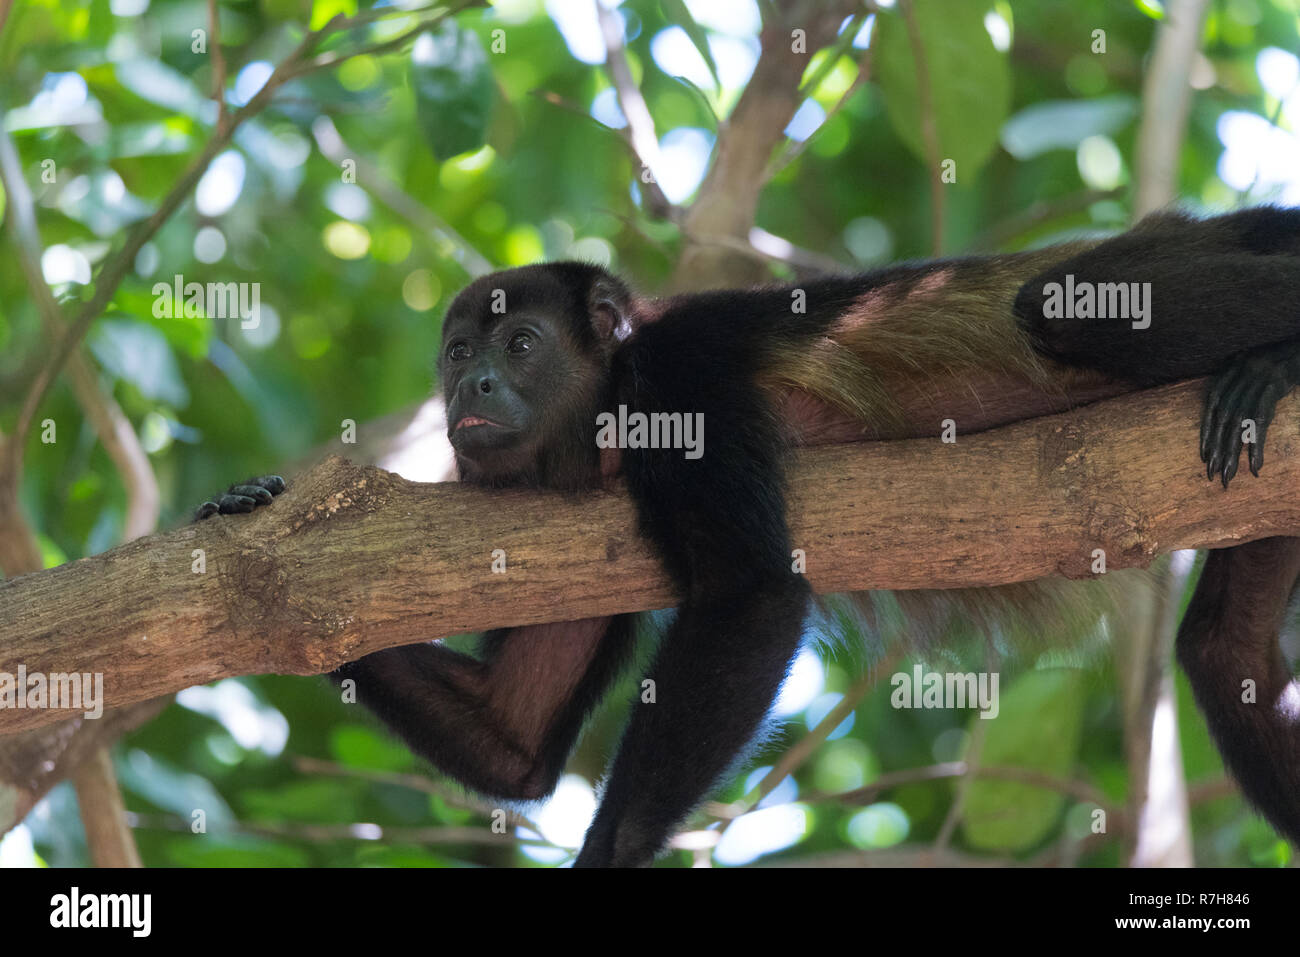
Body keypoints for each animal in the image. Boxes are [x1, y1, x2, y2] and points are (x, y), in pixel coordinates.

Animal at [202, 208, 1300, 868]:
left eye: (521, 344)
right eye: (459, 349)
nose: (469, 385)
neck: (599, 425)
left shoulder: (676, 380)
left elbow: (756, 595)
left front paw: (605, 853)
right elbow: (510, 741)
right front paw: (249, 503)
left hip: (1162, 264)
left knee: (1060, 305)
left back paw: (1271, 356)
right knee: (1222, 651)